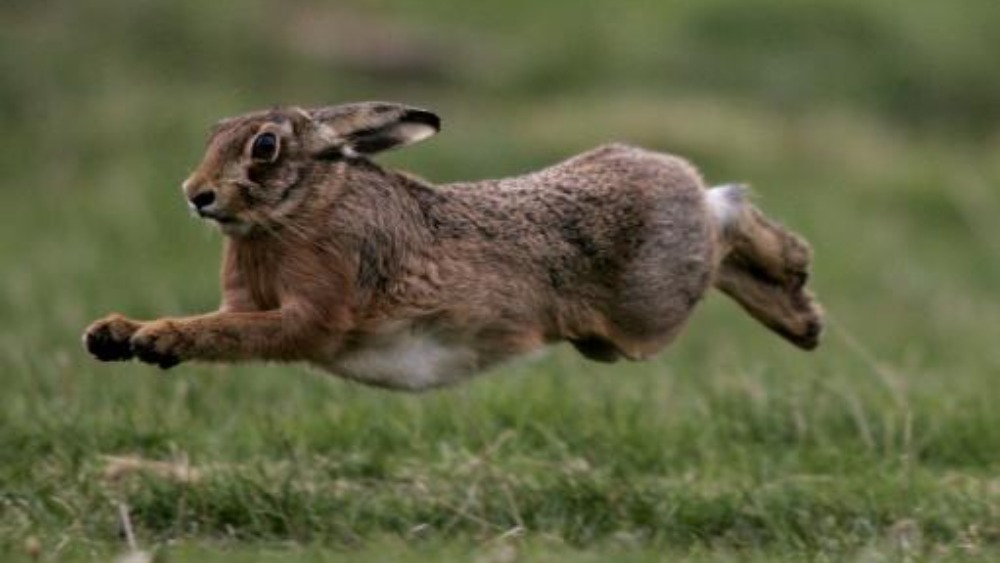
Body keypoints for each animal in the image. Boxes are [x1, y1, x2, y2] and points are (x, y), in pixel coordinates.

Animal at [83, 101, 823, 391]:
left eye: (264, 148)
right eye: (214, 133)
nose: (196, 193)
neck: (305, 206)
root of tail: (673, 174)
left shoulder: (313, 316)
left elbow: (235, 332)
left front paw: (158, 337)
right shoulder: (246, 297)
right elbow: (223, 320)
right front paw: (112, 334)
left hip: (647, 310)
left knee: (727, 220)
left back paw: (800, 304)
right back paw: (801, 312)